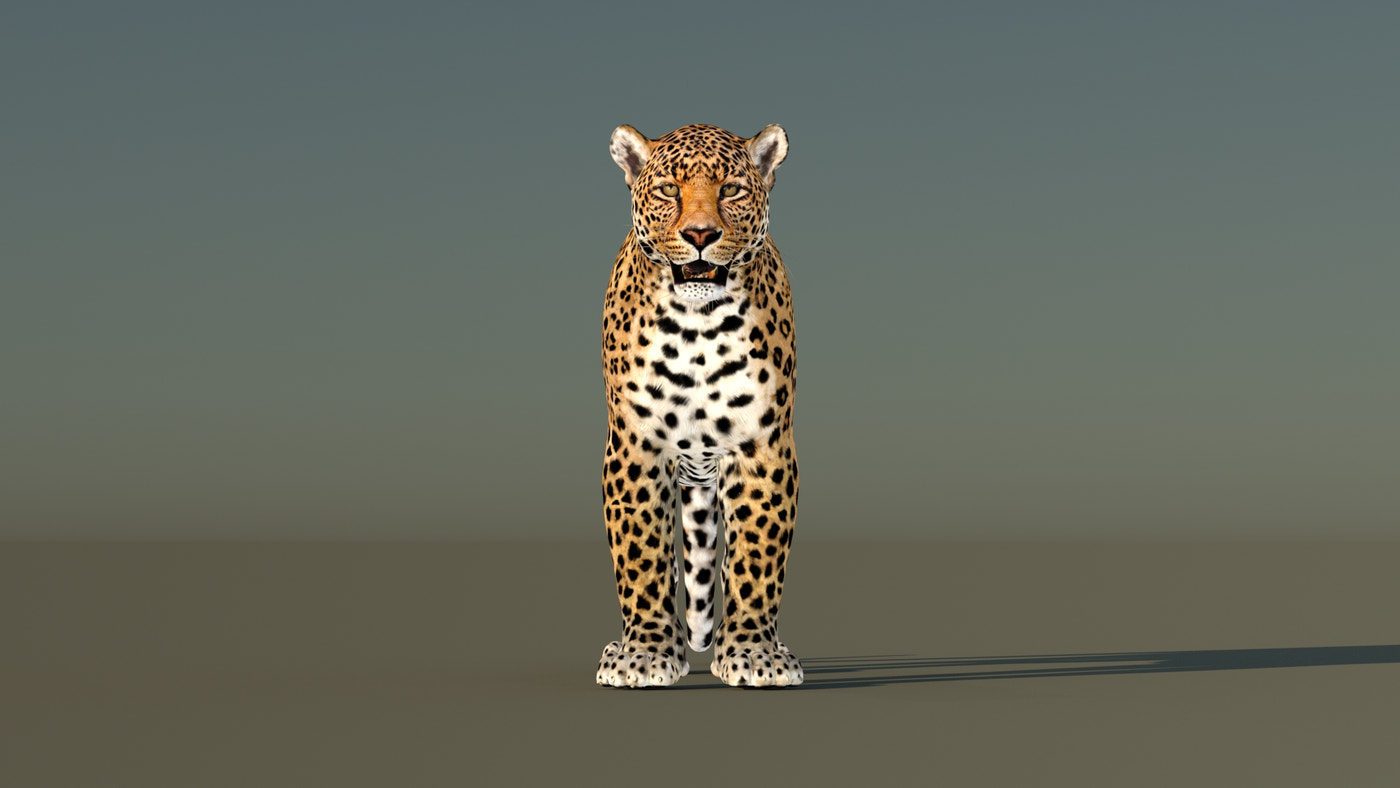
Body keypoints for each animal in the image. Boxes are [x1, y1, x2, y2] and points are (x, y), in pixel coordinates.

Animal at [596, 123, 803, 688]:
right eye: (669, 190)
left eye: (731, 189)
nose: (702, 235)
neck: (698, 327)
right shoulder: (636, 448)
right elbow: (642, 556)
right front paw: (644, 654)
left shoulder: (762, 446)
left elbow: (757, 557)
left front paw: (754, 653)